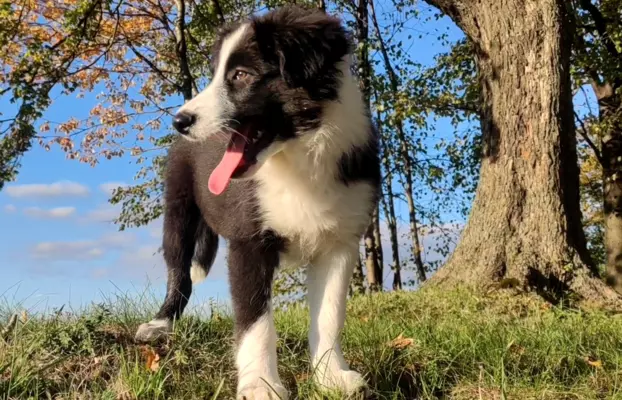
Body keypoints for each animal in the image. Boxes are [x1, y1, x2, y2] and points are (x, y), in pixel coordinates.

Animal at [135, 6, 380, 400]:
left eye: (241, 75)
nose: (180, 121)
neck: (297, 159)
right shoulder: (248, 242)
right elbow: (255, 321)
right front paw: (261, 385)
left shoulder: (340, 243)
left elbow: (329, 313)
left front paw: (331, 376)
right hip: (178, 209)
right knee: (179, 272)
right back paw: (161, 323)